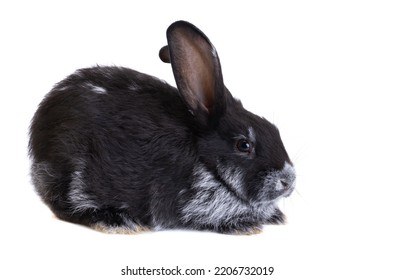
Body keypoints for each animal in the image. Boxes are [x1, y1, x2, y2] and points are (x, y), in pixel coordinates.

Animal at [29, 20, 296, 234]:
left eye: (274, 130)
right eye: (243, 145)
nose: (289, 181)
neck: (206, 162)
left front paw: (277, 217)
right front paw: (245, 226)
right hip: (71, 173)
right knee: (66, 207)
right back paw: (115, 221)